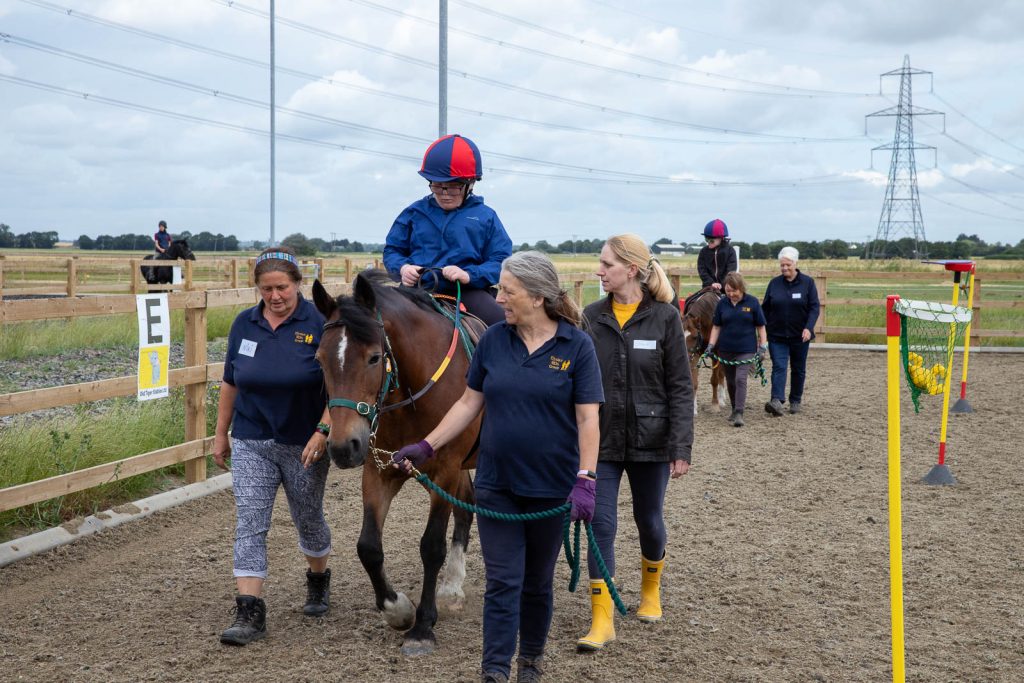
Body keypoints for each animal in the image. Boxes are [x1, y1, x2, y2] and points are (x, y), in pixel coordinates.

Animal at [311, 271, 484, 657]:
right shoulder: (379, 469)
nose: (342, 446)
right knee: (467, 505)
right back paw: (452, 587)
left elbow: (431, 547)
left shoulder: (445, 470)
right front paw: (398, 609)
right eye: (319, 359)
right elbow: (368, 547)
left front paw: (422, 626)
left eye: (375, 358)